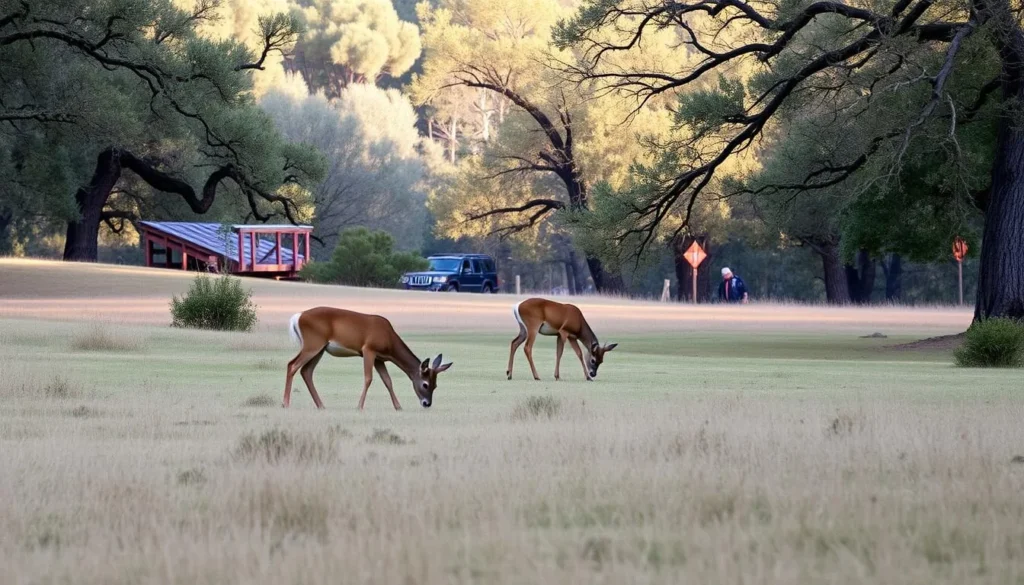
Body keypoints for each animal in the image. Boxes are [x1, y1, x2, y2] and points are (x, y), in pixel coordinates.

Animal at [284, 307, 452, 410]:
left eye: (435, 385)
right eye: (425, 384)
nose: (427, 403)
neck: (389, 340)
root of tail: (297, 317)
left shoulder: (379, 359)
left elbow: (387, 381)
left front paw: (398, 407)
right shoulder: (368, 349)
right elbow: (368, 378)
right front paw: (359, 406)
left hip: (319, 349)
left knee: (306, 371)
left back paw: (321, 405)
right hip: (312, 344)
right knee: (292, 365)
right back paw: (285, 403)